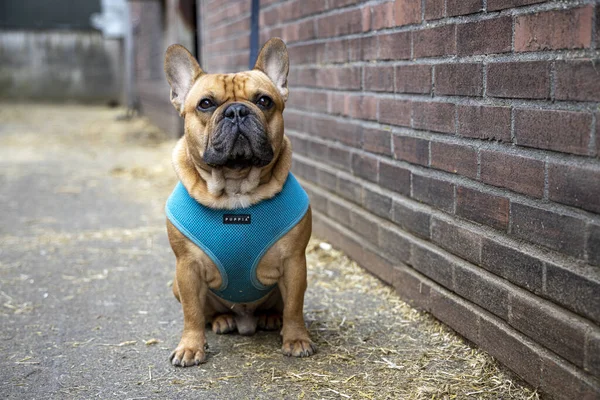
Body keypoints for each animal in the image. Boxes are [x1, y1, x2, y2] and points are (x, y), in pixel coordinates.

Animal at [162, 39, 316, 368]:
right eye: (206, 104)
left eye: (264, 101)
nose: (236, 111)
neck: (236, 187)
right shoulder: (187, 268)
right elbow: (192, 313)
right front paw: (190, 347)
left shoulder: (295, 263)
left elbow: (294, 307)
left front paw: (296, 339)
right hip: (177, 284)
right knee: (208, 313)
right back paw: (223, 320)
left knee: (281, 307)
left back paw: (271, 318)